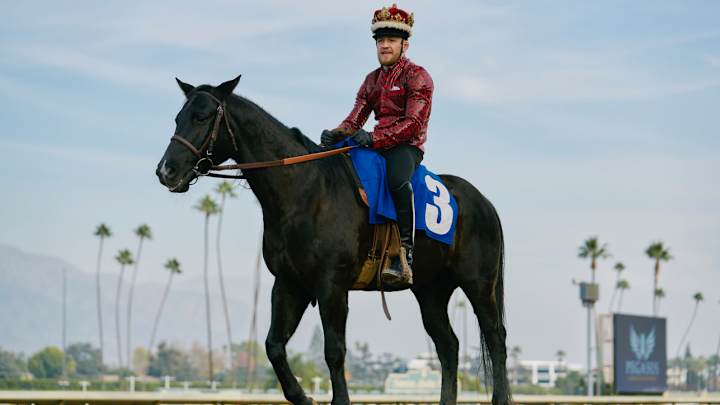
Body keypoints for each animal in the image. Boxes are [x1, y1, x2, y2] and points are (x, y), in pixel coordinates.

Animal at [155, 75, 511, 405]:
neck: (306, 191)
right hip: (430, 290)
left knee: (496, 338)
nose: (166, 171)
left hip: (478, 284)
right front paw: (302, 396)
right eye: (177, 118)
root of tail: (485, 203)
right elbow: (274, 346)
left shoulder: (331, 285)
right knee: (448, 345)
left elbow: (334, 350)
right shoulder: (289, 283)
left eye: (202, 117)